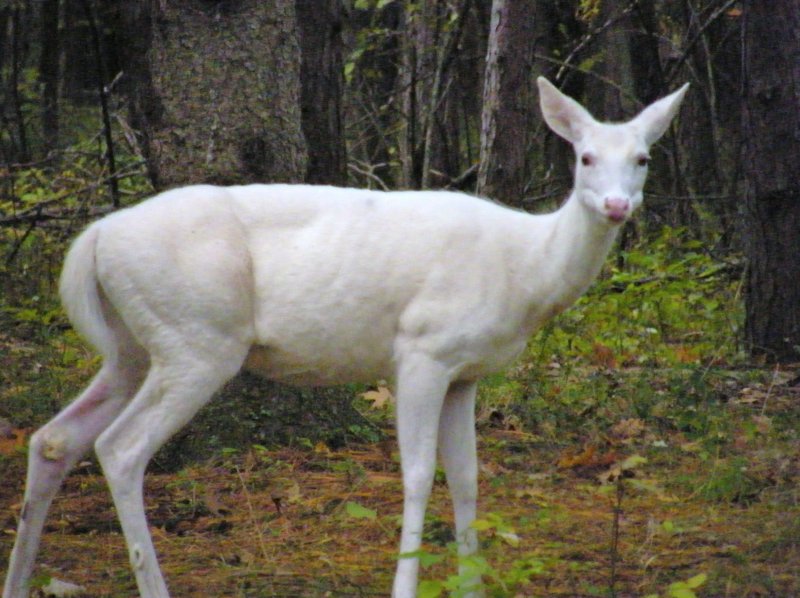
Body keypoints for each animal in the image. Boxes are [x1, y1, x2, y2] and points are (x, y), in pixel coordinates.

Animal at [1, 77, 688, 596]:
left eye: (643, 158)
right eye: (585, 157)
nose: (618, 207)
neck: (525, 269)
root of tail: (94, 238)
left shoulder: (465, 373)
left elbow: (468, 478)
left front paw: (471, 586)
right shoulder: (421, 350)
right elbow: (419, 475)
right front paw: (407, 586)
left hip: (134, 346)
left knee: (54, 438)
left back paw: (19, 580)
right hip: (196, 337)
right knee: (119, 448)